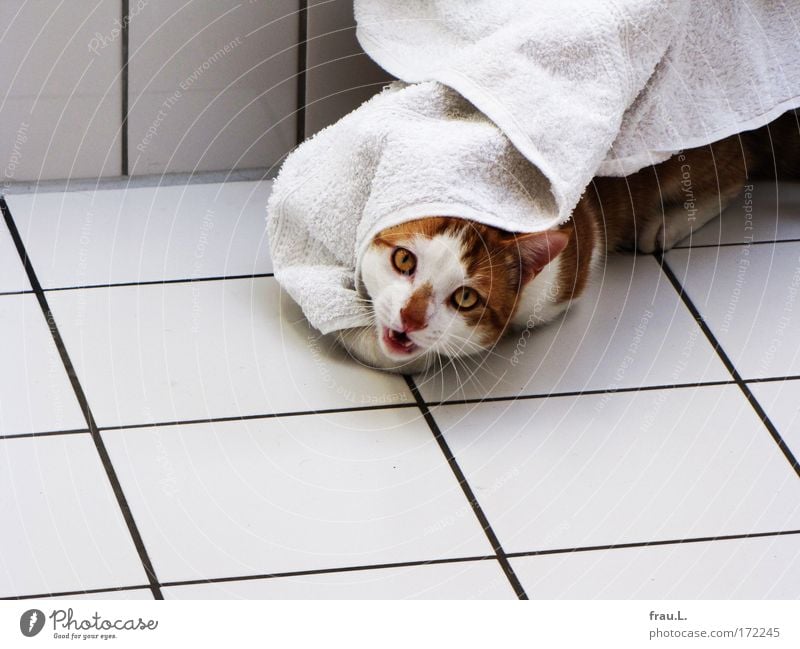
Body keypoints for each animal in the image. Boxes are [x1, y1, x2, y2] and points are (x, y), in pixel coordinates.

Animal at [336, 110, 800, 370]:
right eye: (404, 260)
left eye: (465, 298)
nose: (411, 319)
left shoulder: (565, 275)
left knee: (736, 172)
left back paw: (667, 224)